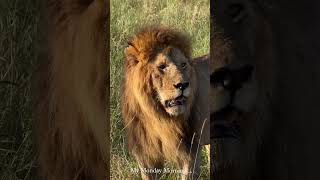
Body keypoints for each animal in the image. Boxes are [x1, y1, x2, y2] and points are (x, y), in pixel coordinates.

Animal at [121, 27, 209, 180]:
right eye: (162, 66)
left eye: (183, 64)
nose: (183, 84)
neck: (158, 117)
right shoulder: (146, 155)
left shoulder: (190, 151)